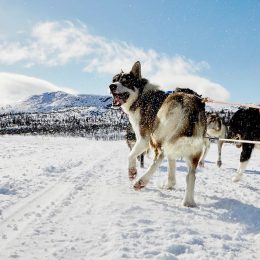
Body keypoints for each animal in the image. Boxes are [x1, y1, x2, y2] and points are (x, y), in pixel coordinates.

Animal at [108, 61, 206, 207]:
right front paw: (170, 184)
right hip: (190, 147)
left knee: (160, 155)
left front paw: (132, 172)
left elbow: (130, 155)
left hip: (157, 136)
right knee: (191, 175)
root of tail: (189, 101)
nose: (111, 86)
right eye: (114, 80)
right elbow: (171, 164)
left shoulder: (143, 139)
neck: (141, 96)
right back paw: (188, 201)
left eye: (125, 81)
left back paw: (141, 182)